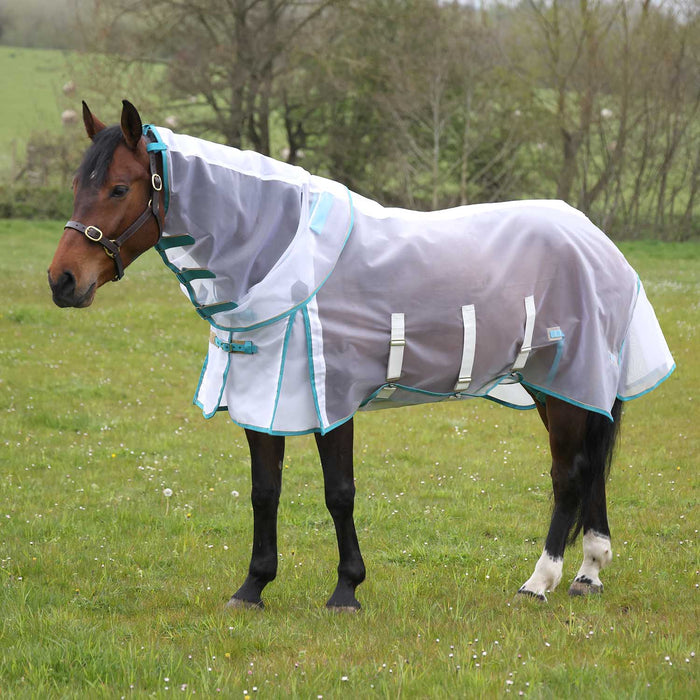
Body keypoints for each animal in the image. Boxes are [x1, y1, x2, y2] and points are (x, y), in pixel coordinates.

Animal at [48, 100, 674, 610]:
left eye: (119, 188)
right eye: (78, 181)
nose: (62, 281)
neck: (279, 257)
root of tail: (595, 238)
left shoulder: (332, 399)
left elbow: (339, 493)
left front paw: (346, 589)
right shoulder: (262, 396)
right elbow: (264, 492)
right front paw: (253, 587)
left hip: (567, 380)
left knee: (568, 476)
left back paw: (539, 582)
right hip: (562, 387)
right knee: (590, 469)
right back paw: (589, 573)